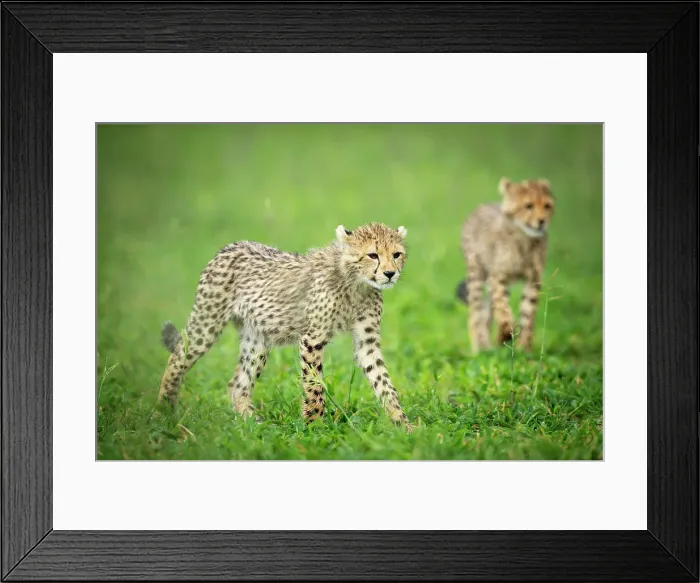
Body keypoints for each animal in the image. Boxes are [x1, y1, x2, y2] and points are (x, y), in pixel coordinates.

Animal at [157, 222, 414, 432]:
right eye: (373, 255)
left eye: (396, 254)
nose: (390, 273)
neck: (357, 282)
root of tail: (231, 246)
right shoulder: (312, 338)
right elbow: (314, 387)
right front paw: (313, 427)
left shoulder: (366, 343)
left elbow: (383, 381)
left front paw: (402, 424)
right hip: (207, 322)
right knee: (177, 356)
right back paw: (164, 412)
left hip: (256, 341)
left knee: (237, 385)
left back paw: (255, 426)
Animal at [455, 177, 555, 354]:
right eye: (528, 206)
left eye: (547, 206)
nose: (542, 221)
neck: (525, 239)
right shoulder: (498, 277)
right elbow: (503, 309)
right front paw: (506, 334)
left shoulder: (533, 280)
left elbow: (527, 315)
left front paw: (524, 349)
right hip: (476, 273)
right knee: (476, 312)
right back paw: (480, 348)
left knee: (487, 313)